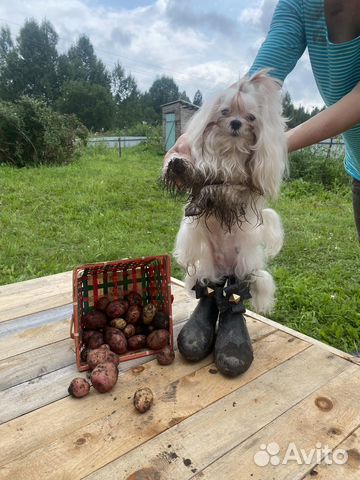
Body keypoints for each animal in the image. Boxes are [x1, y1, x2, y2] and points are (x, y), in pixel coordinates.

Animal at [165, 68, 288, 316]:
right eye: (225, 111)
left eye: (251, 117)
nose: (236, 123)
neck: (229, 153)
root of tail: (226, 267)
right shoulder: (202, 175)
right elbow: (195, 176)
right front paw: (178, 165)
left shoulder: (239, 188)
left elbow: (217, 188)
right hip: (208, 266)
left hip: (245, 265)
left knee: (251, 281)